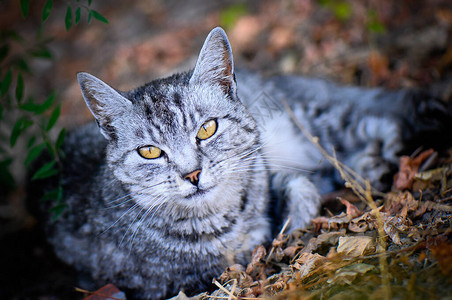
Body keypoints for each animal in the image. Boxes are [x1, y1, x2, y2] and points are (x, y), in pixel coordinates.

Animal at [41, 27, 448, 298]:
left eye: (206, 129)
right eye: (150, 152)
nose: (192, 174)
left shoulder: (264, 168)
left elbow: (292, 190)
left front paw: (294, 216)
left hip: (318, 120)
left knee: (386, 118)